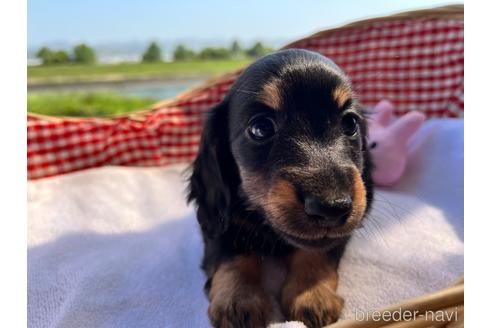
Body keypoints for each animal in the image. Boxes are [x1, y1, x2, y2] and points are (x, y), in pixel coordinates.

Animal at [188, 48, 372, 328]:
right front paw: (238, 299)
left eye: (350, 122)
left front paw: (312, 295)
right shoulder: (218, 220)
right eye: (260, 128)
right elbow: (231, 254)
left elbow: (318, 251)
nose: (331, 207)